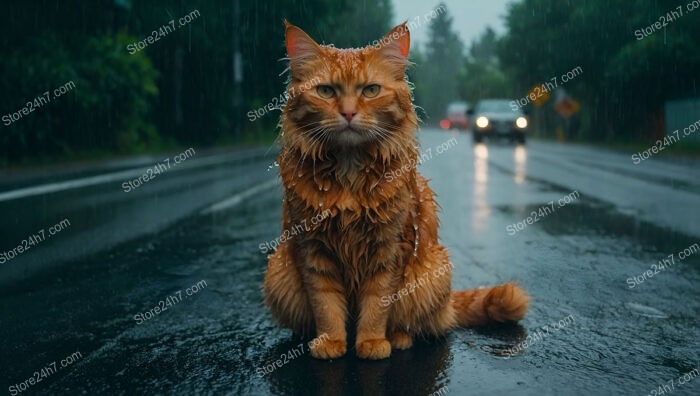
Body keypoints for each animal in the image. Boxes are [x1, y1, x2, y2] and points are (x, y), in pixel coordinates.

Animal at [266, 21, 528, 360]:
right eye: (325, 91)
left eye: (370, 90)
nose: (348, 113)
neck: (349, 171)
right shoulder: (312, 248)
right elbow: (326, 305)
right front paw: (330, 342)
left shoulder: (390, 247)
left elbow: (377, 304)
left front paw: (371, 342)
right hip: (277, 272)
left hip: (432, 271)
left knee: (415, 323)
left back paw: (399, 338)